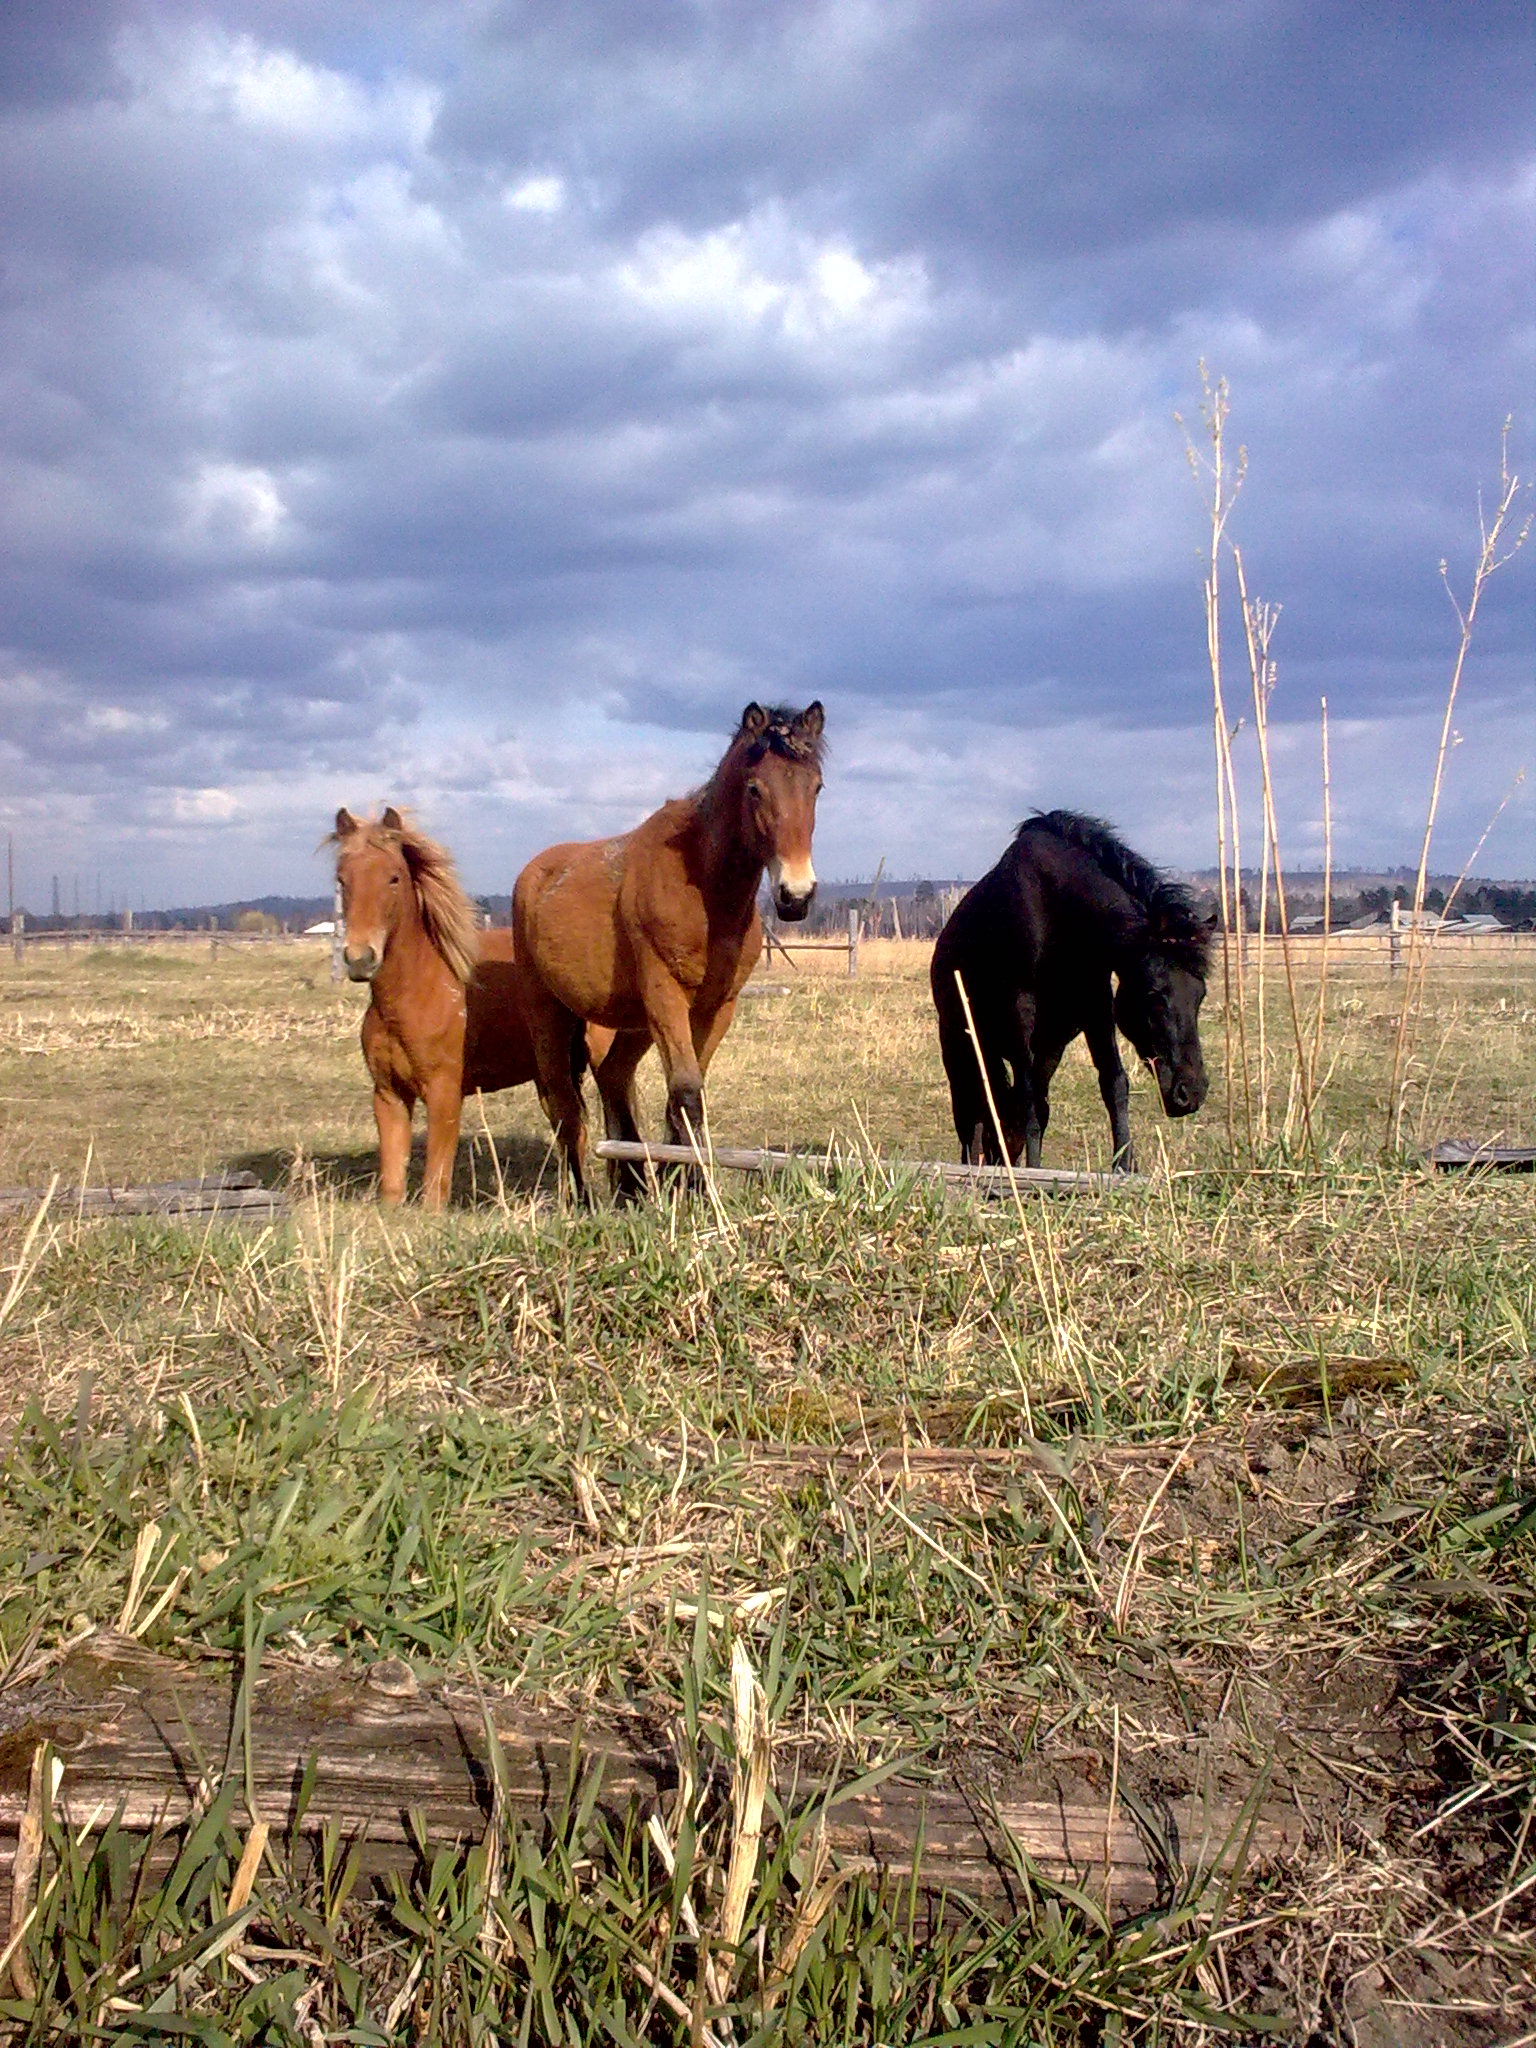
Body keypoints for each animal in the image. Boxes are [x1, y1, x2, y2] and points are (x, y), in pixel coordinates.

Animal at [331, 808, 609, 1209]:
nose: (359, 959)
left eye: (393, 878)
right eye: (341, 879)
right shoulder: (388, 1096)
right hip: (549, 1073)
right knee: (571, 1130)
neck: (416, 994)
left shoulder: (444, 1094)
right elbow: (393, 1180)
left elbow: (436, 1179)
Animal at [514, 701, 825, 1200]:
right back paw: (583, 1195)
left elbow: (684, 1095)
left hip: (635, 1022)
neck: (704, 890)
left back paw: (631, 1184)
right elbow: (686, 1090)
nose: (795, 895)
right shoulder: (667, 996)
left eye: (816, 786)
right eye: (755, 788)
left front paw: (682, 1181)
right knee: (562, 1103)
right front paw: (696, 1186)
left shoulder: (716, 1007)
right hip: (549, 1015)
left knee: (612, 1076)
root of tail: (533, 876)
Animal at [930, 810, 1212, 1173]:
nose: (1190, 1093)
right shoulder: (1021, 1012)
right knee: (974, 1110)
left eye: (1200, 995)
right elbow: (1029, 1102)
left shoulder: (1096, 1008)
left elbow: (1113, 1084)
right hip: (962, 1045)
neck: (1058, 913)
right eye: (1155, 993)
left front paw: (1124, 1165)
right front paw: (1034, 1169)